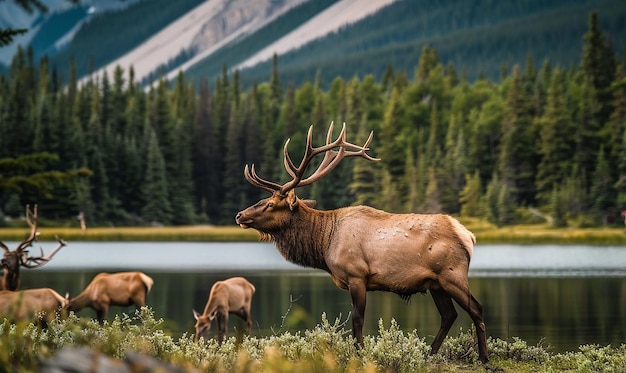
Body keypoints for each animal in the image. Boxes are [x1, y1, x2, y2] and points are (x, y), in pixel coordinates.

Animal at [234, 123, 488, 362]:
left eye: (270, 204)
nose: (239, 215)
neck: (325, 242)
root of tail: (468, 235)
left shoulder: (357, 275)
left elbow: (358, 320)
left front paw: (360, 353)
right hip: (435, 283)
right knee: (449, 315)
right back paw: (430, 354)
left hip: (452, 275)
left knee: (476, 308)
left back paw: (483, 357)